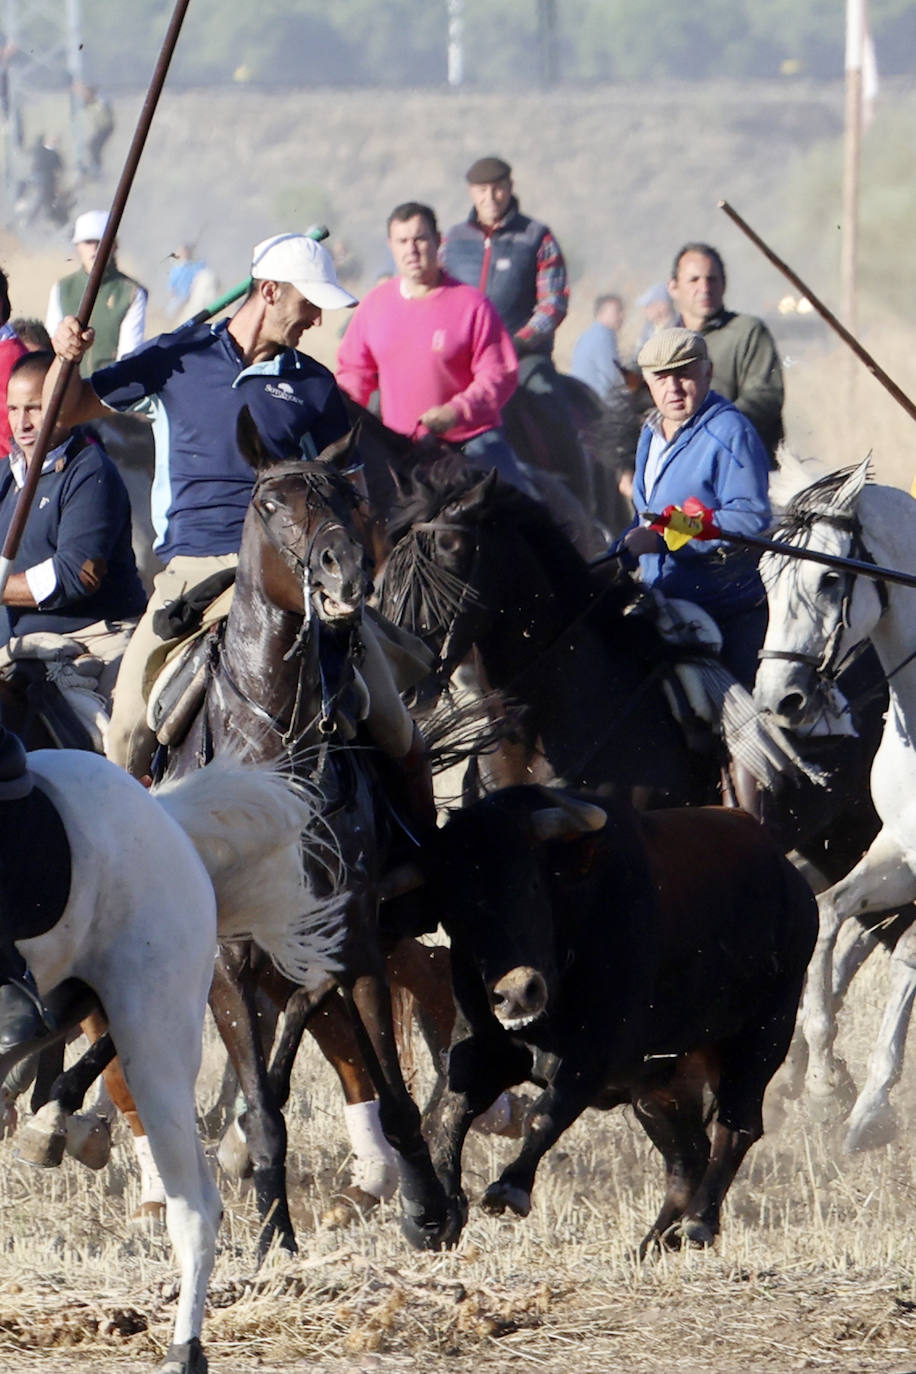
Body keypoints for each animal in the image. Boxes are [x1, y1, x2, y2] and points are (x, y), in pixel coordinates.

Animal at [392, 791, 818, 1253]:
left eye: (530, 884)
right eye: (457, 912)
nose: (519, 993)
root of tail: (792, 881)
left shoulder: (594, 1057)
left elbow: (545, 1113)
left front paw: (509, 1189)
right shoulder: (483, 1050)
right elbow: (448, 1115)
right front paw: (441, 1213)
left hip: (763, 1038)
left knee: (737, 1127)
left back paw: (698, 1224)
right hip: (659, 1086)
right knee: (688, 1156)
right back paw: (652, 1244)